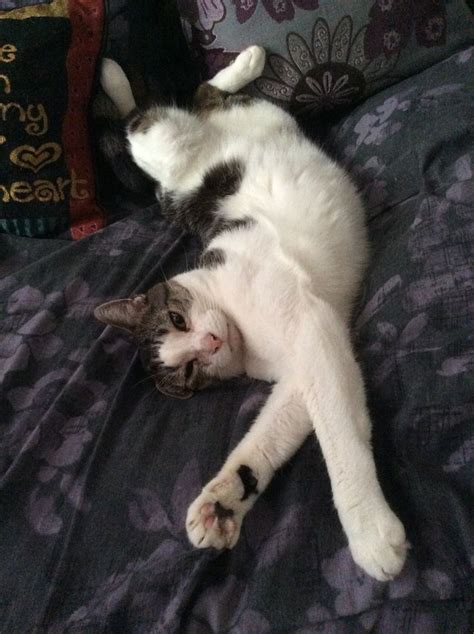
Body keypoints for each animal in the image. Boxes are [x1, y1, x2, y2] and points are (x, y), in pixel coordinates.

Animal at [95, 49, 408, 580]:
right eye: (188, 371)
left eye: (178, 320)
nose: (210, 343)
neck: (247, 342)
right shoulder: (301, 370)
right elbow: (269, 437)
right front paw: (220, 503)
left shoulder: (311, 328)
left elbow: (337, 433)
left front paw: (369, 530)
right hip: (183, 180)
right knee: (199, 99)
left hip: (169, 146)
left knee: (155, 115)